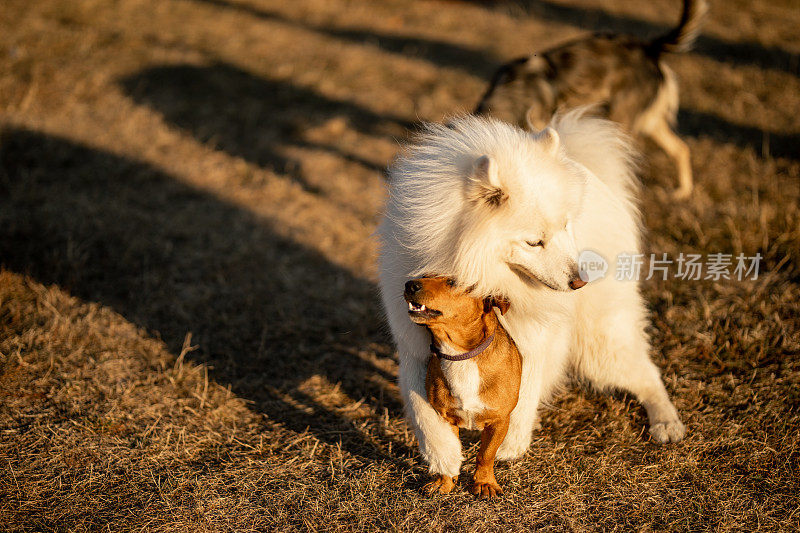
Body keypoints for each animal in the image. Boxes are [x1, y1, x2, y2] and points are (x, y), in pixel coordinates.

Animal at [404, 276, 520, 496]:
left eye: (453, 282)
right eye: (423, 274)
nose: (410, 285)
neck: (460, 355)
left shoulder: (499, 421)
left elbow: (486, 454)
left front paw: (484, 482)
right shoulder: (445, 417)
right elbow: (448, 449)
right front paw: (445, 481)